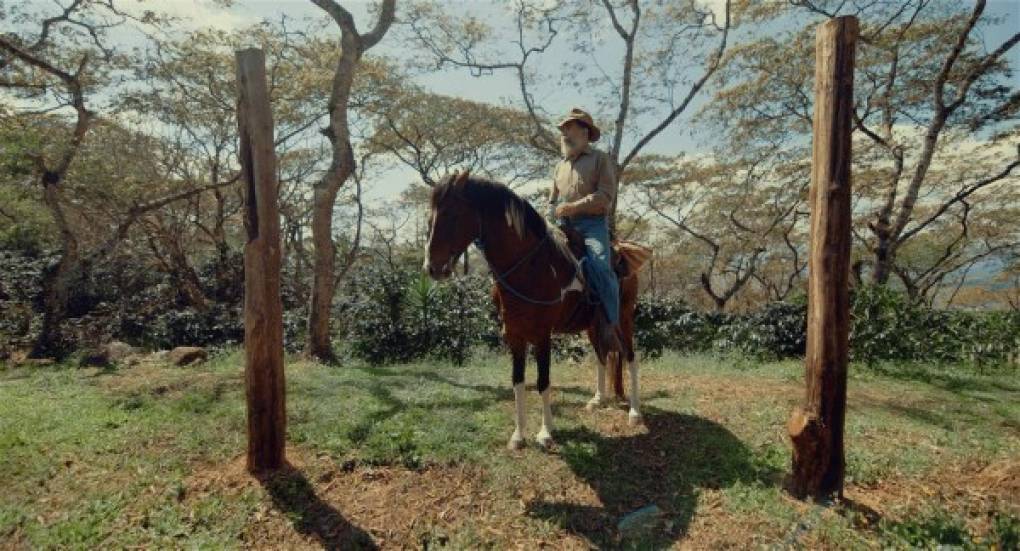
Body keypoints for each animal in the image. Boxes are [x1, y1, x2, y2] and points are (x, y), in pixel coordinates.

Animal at [426, 170, 640, 448]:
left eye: (451, 214)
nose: (432, 267)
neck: (531, 266)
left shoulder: (542, 336)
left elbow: (543, 381)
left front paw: (546, 432)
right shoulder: (513, 335)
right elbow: (518, 381)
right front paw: (518, 435)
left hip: (623, 318)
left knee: (630, 356)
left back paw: (635, 412)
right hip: (593, 326)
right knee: (603, 356)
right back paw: (598, 399)